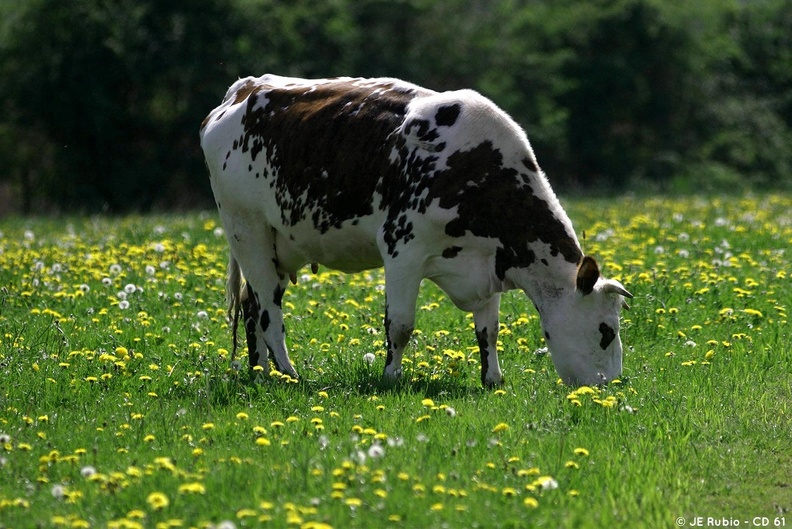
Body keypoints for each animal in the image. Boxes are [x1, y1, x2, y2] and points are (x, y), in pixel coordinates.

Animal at [201, 74, 636, 386]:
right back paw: (289, 374)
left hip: (278, 243)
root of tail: (243, 89)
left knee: (251, 305)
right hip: (247, 229)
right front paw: (392, 377)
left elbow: (489, 330)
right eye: (606, 331)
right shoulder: (402, 250)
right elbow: (400, 325)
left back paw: (261, 373)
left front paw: (493, 380)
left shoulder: (488, 262)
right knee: (268, 309)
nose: (611, 384)